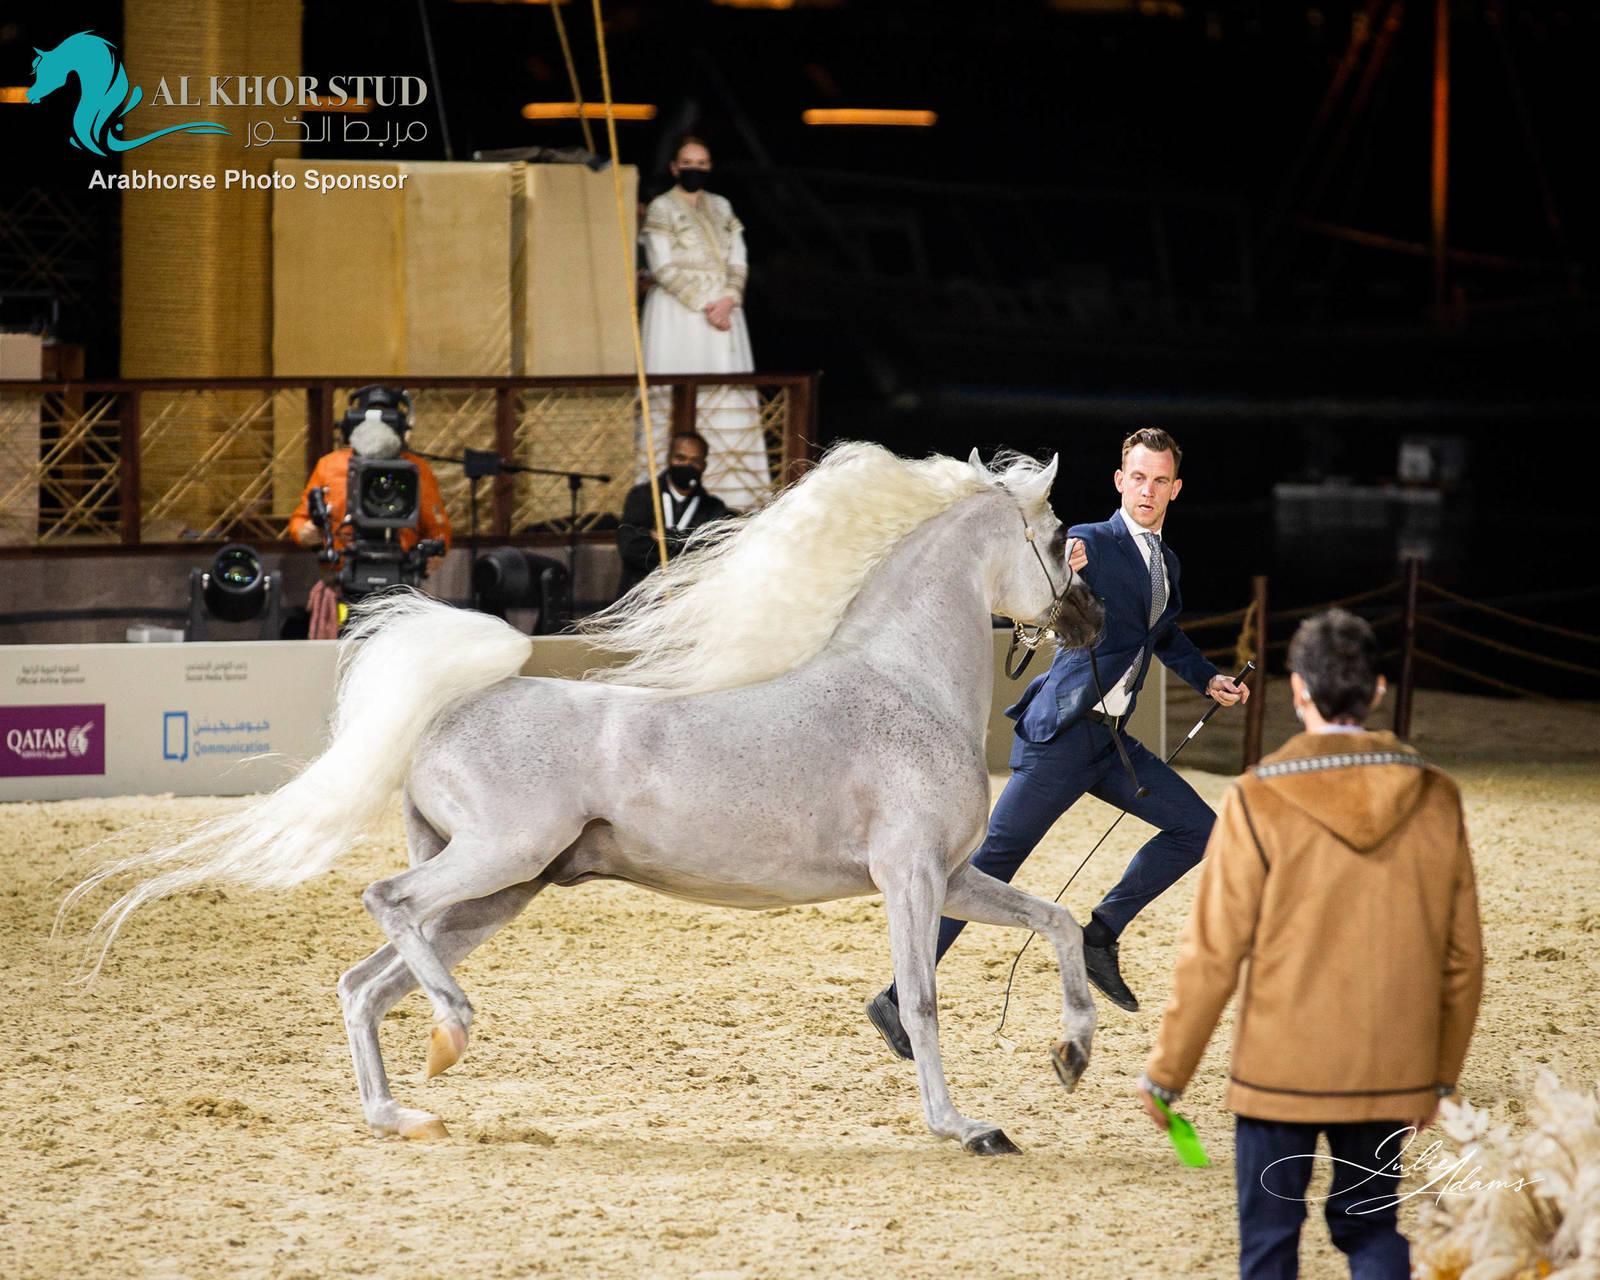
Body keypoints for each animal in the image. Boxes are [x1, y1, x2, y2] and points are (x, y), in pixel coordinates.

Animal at [67, 444, 1105, 1155]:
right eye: (1062, 540)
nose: (1093, 620)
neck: (904, 684)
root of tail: (445, 716)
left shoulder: (956, 877)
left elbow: (1055, 920)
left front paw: (1074, 1057)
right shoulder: (909, 878)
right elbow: (922, 1001)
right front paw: (963, 1127)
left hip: (493, 896)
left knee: (365, 984)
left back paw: (401, 1111)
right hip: (497, 862)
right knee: (384, 907)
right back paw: (452, 1032)